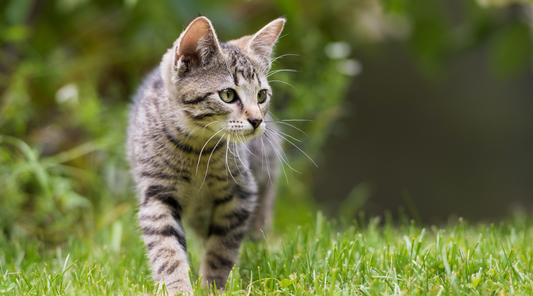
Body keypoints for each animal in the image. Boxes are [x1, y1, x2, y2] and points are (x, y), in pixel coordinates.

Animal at [127, 16, 284, 294]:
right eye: (228, 95)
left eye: (261, 95)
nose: (257, 120)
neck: (197, 149)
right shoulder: (157, 195)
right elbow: (167, 251)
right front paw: (178, 287)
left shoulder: (241, 194)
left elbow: (221, 249)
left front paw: (213, 286)